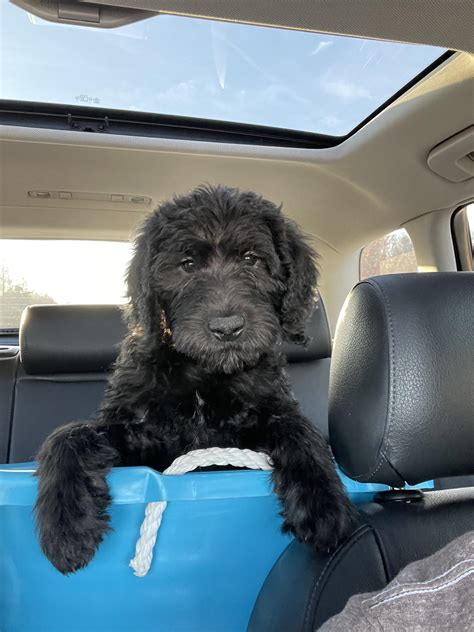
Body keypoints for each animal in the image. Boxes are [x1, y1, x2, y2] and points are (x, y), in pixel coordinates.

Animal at [36, 185, 356, 576]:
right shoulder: (137, 436)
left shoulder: (266, 414)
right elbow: (68, 435)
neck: (205, 373)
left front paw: (324, 504)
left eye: (252, 259)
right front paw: (66, 524)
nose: (227, 328)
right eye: (187, 265)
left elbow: (299, 430)